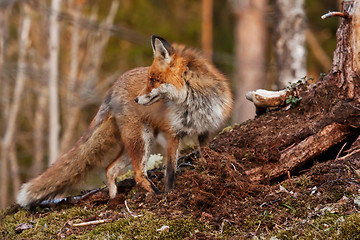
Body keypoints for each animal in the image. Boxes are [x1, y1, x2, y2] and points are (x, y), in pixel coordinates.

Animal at [16, 35, 233, 208]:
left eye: (153, 80)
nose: (136, 99)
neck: (195, 104)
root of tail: (113, 87)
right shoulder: (174, 134)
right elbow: (170, 171)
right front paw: (169, 194)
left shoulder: (205, 129)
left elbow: (204, 153)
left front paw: (210, 169)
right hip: (141, 141)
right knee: (137, 175)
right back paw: (154, 195)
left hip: (139, 143)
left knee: (109, 169)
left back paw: (114, 200)